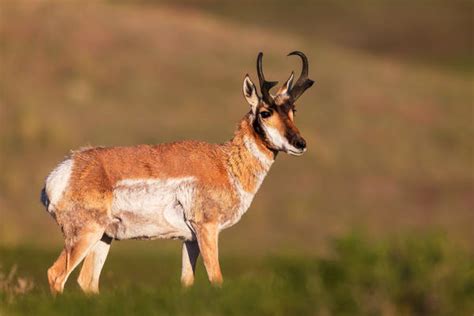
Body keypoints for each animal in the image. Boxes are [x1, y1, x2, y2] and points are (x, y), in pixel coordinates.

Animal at [41, 50, 314, 292]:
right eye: (266, 112)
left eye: (293, 110)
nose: (300, 144)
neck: (225, 164)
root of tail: (64, 171)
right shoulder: (207, 228)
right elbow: (216, 278)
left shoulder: (189, 239)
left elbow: (186, 281)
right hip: (86, 233)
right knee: (56, 274)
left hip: (104, 236)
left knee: (87, 281)